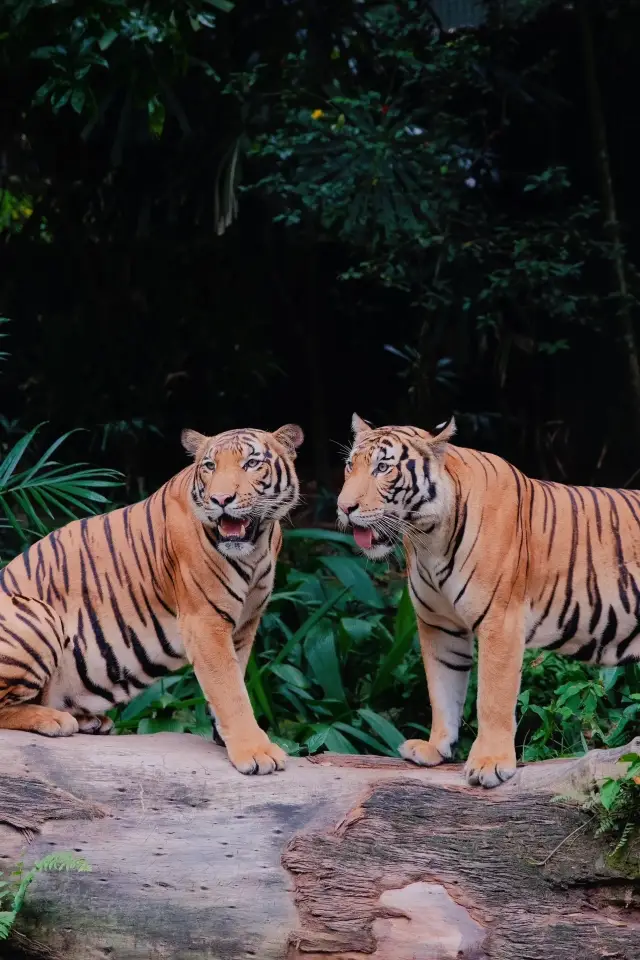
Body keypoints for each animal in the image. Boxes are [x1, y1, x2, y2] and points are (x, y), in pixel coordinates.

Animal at [0, 424, 304, 776]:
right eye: (210, 466)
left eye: (252, 463)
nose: (220, 500)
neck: (256, 548)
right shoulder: (204, 622)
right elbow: (230, 690)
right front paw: (255, 751)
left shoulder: (244, 625)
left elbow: (235, 677)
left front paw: (224, 737)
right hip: (37, 615)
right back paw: (55, 719)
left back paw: (90, 720)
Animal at [336, 412, 640, 788]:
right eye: (350, 465)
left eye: (382, 468)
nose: (343, 507)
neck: (427, 540)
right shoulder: (439, 625)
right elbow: (442, 687)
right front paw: (435, 748)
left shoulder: (501, 621)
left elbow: (492, 697)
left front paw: (490, 764)